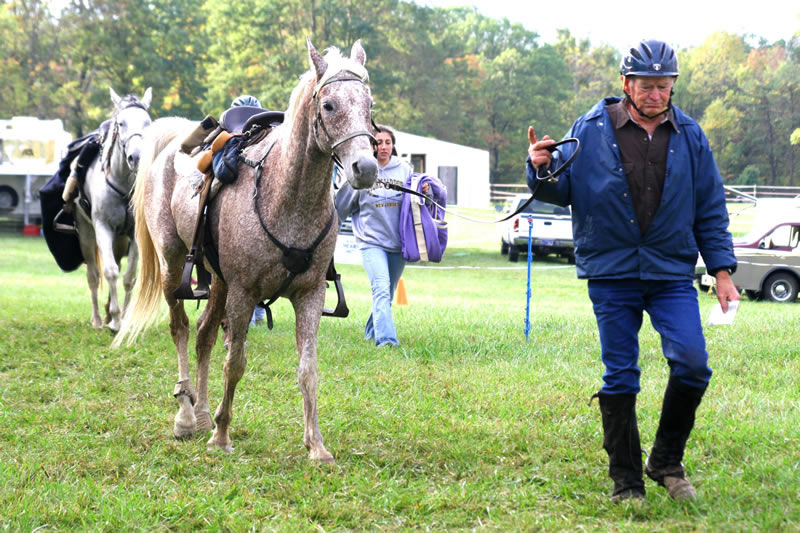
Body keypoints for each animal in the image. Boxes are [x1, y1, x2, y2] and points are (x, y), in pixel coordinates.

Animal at [75, 87, 153, 332]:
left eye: (148, 122)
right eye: (121, 123)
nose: (136, 157)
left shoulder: (134, 233)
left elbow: (129, 277)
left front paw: (123, 318)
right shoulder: (103, 228)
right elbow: (110, 271)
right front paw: (116, 321)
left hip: (120, 239)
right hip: (87, 233)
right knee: (93, 275)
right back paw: (99, 319)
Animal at [113, 40, 378, 462]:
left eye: (369, 105)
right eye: (329, 105)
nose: (365, 167)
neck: (286, 196)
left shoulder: (309, 294)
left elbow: (308, 369)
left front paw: (316, 444)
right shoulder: (243, 293)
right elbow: (234, 363)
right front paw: (222, 436)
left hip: (218, 282)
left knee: (204, 334)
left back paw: (203, 413)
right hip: (174, 266)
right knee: (181, 329)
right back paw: (186, 415)